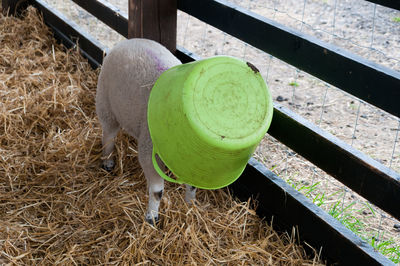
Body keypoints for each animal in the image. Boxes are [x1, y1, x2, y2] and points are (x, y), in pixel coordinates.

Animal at [97, 38, 197, 224]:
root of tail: (129, 41)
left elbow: (192, 185)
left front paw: (190, 205)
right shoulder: (150, 151)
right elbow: (158, 191)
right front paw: (152, 217)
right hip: (106, 104)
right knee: (108, 135)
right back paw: (107, 161)